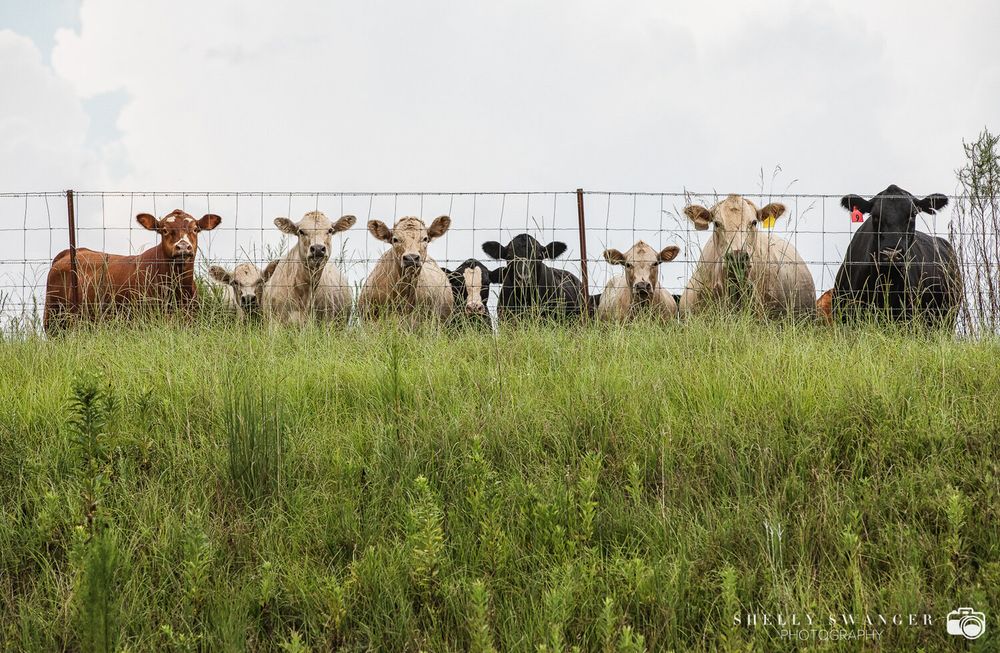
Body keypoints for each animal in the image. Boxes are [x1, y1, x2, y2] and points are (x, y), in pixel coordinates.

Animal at [44, 209, 221, 332]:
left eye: (195, 229)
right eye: (164, 230)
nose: (183, 247)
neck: (178, 289)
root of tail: (72, 252)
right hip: (54, 319)